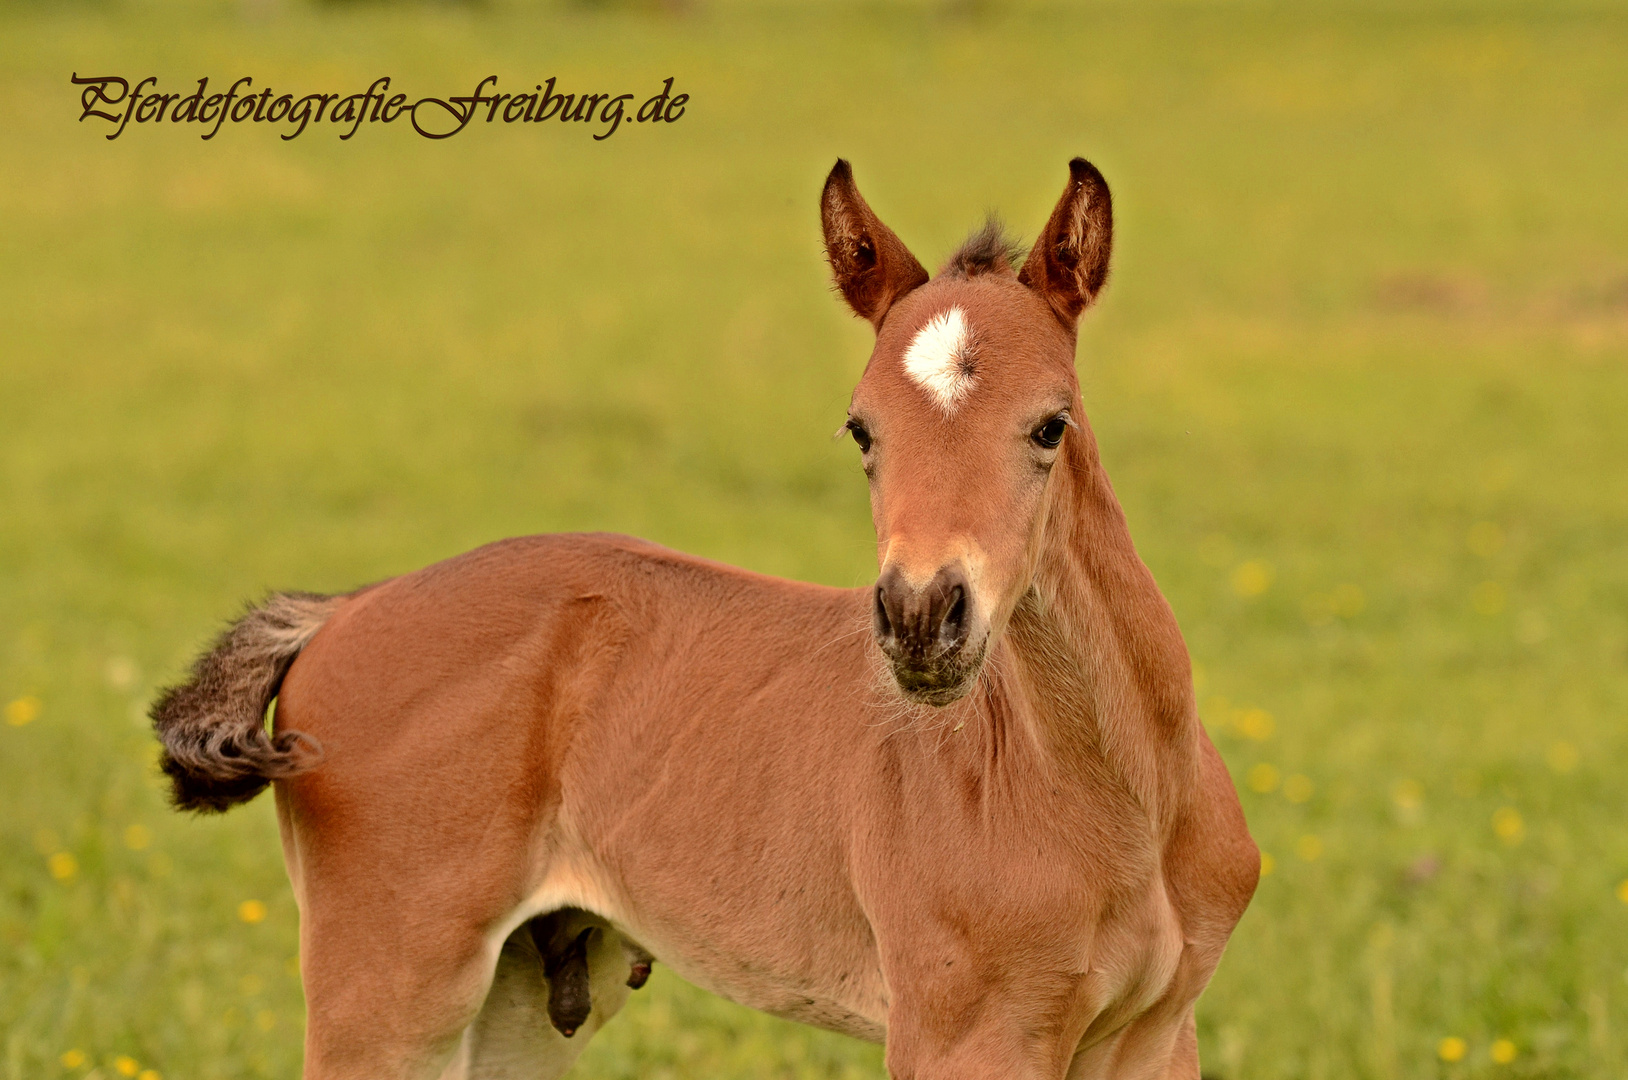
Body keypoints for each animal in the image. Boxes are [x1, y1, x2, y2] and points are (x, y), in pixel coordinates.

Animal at [153, 156, 1256, 1075]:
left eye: (1049, 424)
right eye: (861, 429)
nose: (919, 619)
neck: (1115, 799)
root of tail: (349, 607)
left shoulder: (1158, 1036)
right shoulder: (962, 1035)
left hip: (522, 988)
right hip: (388, 985)